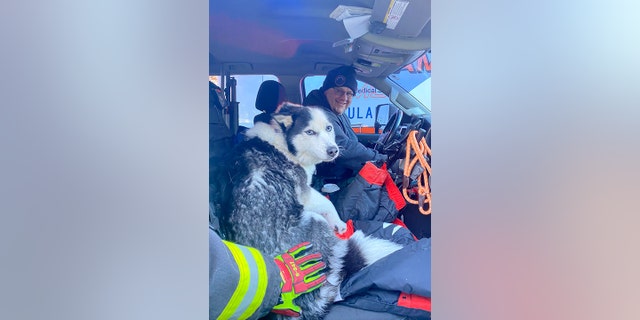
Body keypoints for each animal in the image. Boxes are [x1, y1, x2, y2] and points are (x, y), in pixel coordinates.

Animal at [220, 106, 400, 318]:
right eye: (310, 132)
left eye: (329, 128)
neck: (283, 142)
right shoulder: (305, 193)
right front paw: (339, 223)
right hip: (315, 222)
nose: (333, 150)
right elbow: (328, 204)